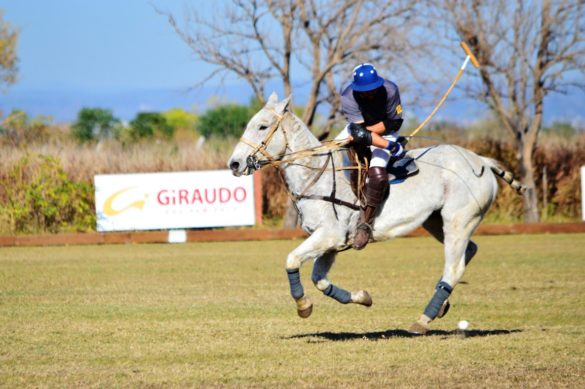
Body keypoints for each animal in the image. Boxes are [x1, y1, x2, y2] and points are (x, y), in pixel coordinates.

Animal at [227, 91, 520, 334]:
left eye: (262, 126)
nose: (234, 163)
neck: (316, 173)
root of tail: (482, 161)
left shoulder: (329, 235)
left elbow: (291, 260)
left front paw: (303, 306)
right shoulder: (331, 244)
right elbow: (319, 279)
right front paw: (363, 297)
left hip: (458, 220)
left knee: (454, 266)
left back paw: (423, 320)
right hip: (436, 221)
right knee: (469, 251)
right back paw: (442, 305)